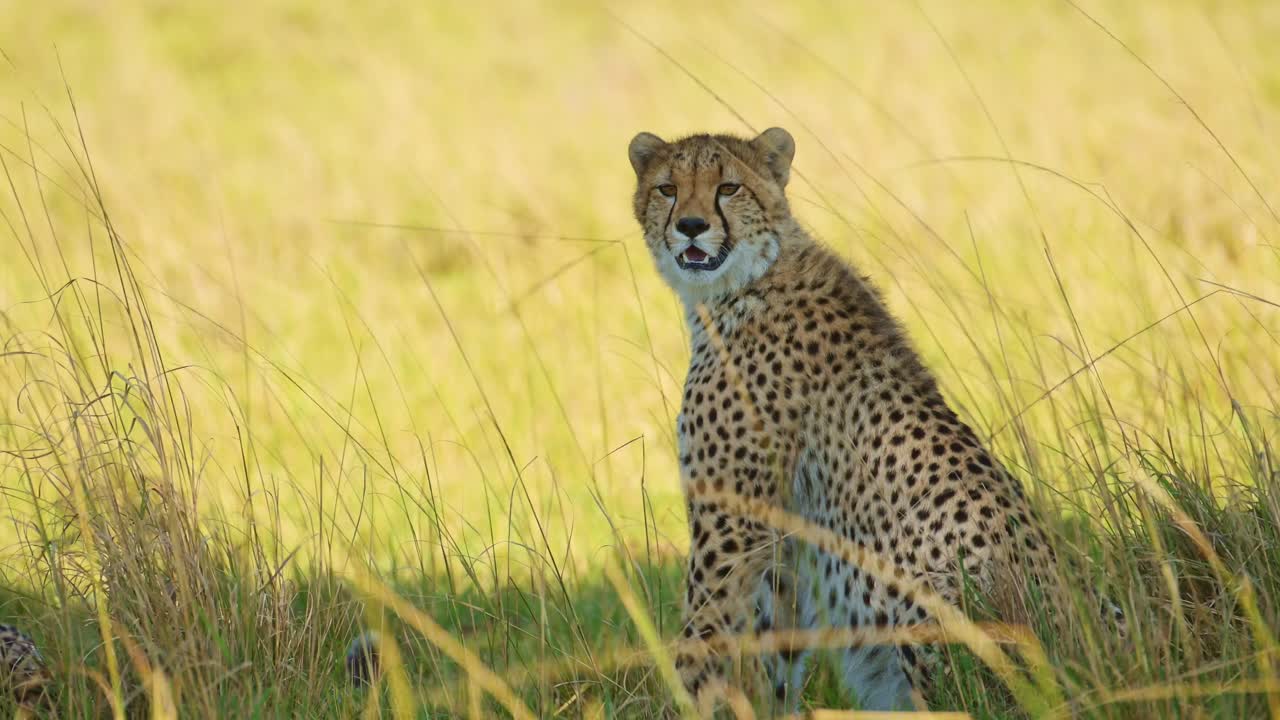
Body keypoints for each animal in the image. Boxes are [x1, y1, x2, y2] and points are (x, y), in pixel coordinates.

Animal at [627, 127, 1085, 713]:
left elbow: (701, 638)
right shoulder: (784, 538)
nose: (690, 224)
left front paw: (684, 706)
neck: (747, 281)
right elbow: (775, 650)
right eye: (667, 188)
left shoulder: (730, 522)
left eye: (728, 187)